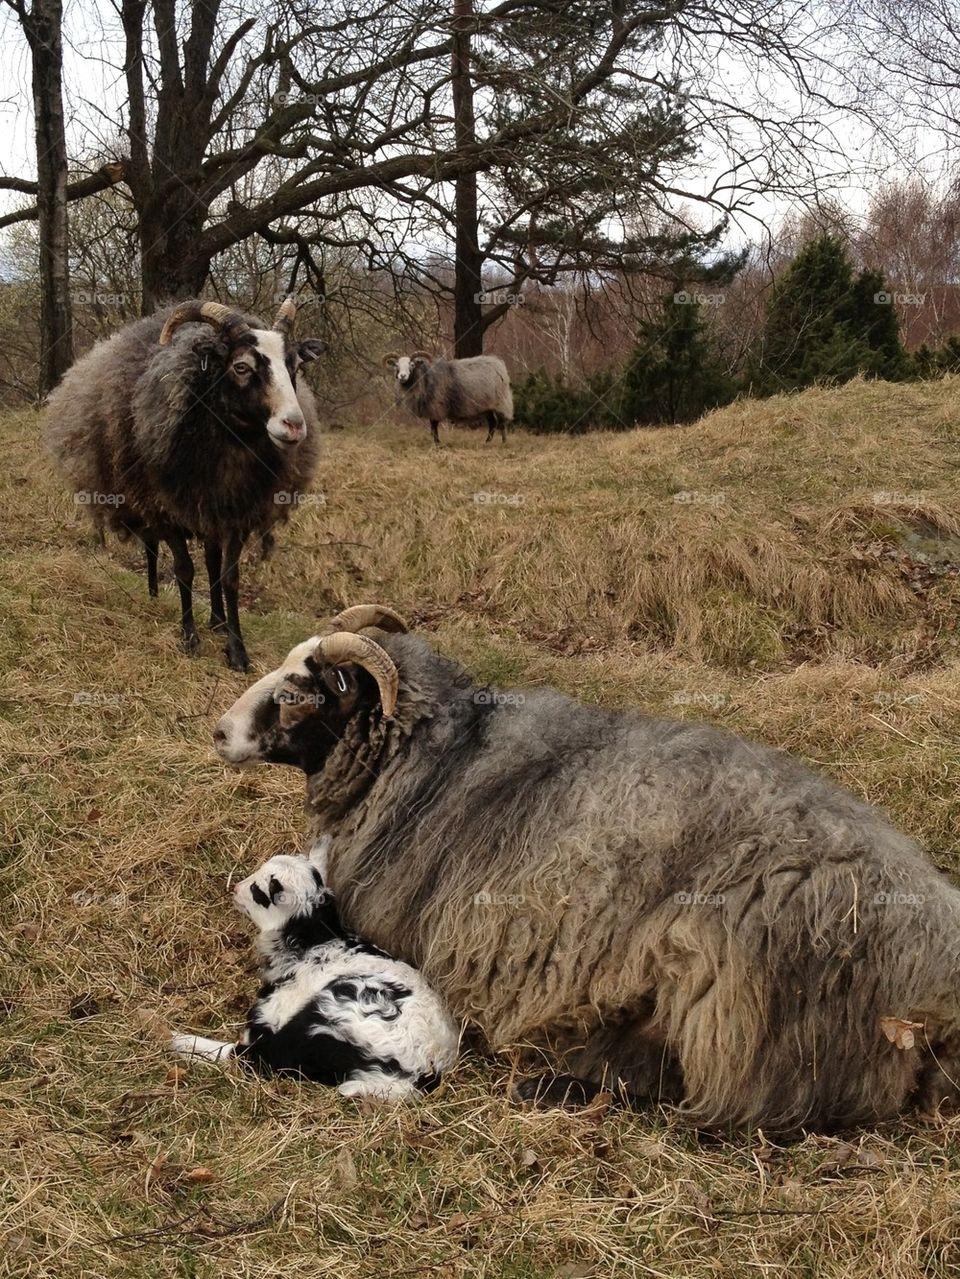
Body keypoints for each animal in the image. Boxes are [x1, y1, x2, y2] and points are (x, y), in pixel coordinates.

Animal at [45, 296, 327, 670]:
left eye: (293, 365)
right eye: (241, 367)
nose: (294, 425)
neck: (231, 446)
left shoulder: (238, 512)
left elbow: (228, 576)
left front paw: (236, 649)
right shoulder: (166, 507)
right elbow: (184, 569)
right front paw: (189, 637)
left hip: (208, 510)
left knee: (211, 558)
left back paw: (218, 621)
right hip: (142, 499)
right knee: (151, 546)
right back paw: (152, 594)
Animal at [171, 844, 460, 1094]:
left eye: (257, 891)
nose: (235, 888)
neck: (314, 944)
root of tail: (425, 1069)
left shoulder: (278, 1009)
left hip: (330, 1017)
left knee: (253, 1057)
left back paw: (178, 1040)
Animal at [383, 353, 513, 447]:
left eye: (412, 365)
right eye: (396, 366)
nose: (402, 376)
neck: (425, 378)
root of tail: (498, 363)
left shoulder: (436, 406)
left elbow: (434, 427)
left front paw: (437, 444)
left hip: (501, 403)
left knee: (502, 423)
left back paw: (503, 442)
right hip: (486, 407)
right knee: (493, 423)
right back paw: (487, 442)